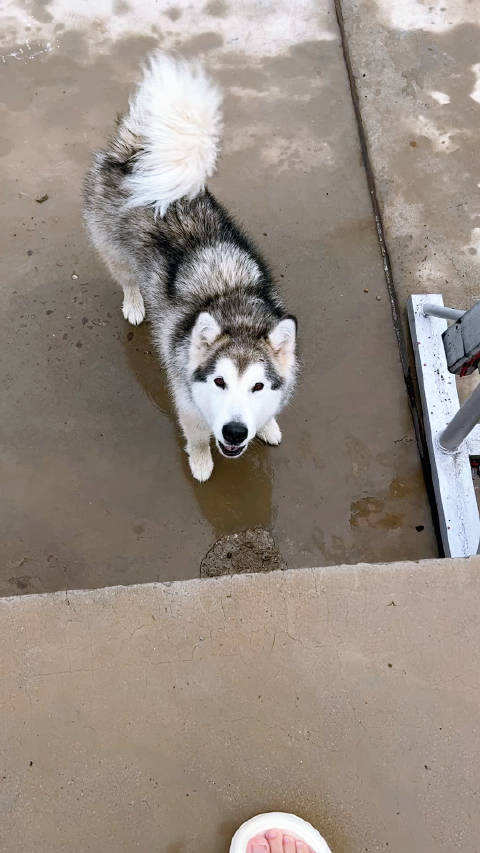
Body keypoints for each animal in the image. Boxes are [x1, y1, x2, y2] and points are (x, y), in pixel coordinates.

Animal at [84, 51, 298, 480]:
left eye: (258, 387)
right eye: (219, 382)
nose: (235, 431)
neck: (234, 305)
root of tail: (133, 153)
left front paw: (268, 425)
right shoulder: (187, 400)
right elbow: (197, 437)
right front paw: (200, 462)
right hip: (115, 253)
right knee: (127, 279)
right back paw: (134, 304)